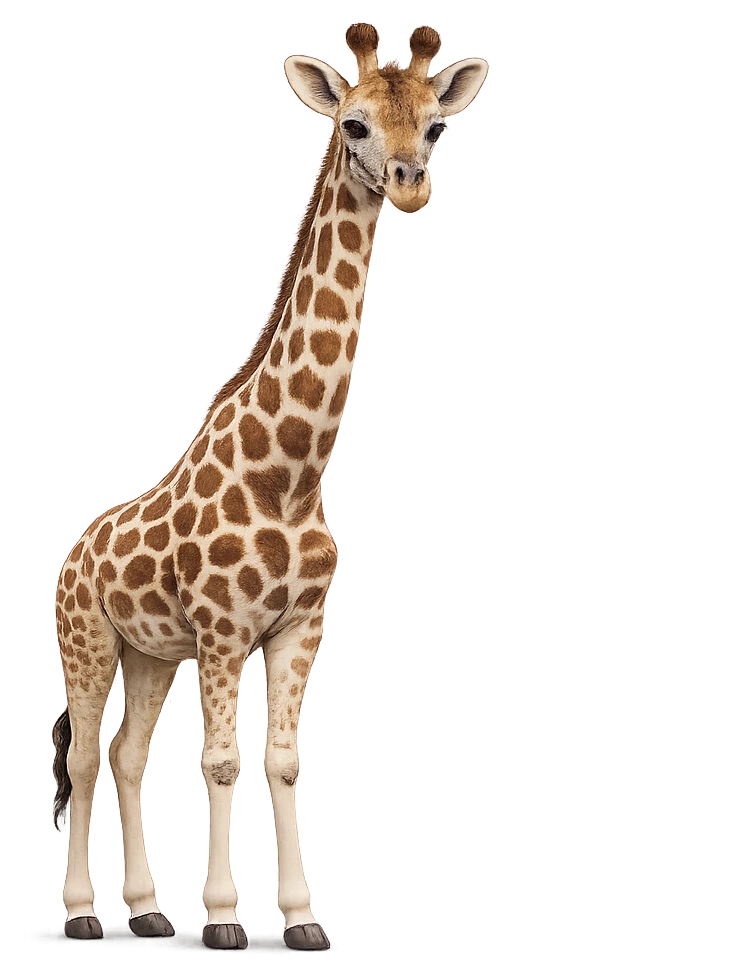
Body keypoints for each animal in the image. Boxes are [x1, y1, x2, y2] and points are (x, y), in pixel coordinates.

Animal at [50, 23, 487, 951]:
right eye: (354, 124)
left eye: (434, 127)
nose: (408, 185)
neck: (288, 471)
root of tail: (72, 552)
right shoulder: (223, 629)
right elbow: (220, 761)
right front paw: (222, 915)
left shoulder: (298, 627)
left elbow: (282, 763)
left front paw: (299, 916)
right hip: (86, 640)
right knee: (81, 756)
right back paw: (81, 912)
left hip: (149, 654)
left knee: (126, 757)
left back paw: (144, 909)